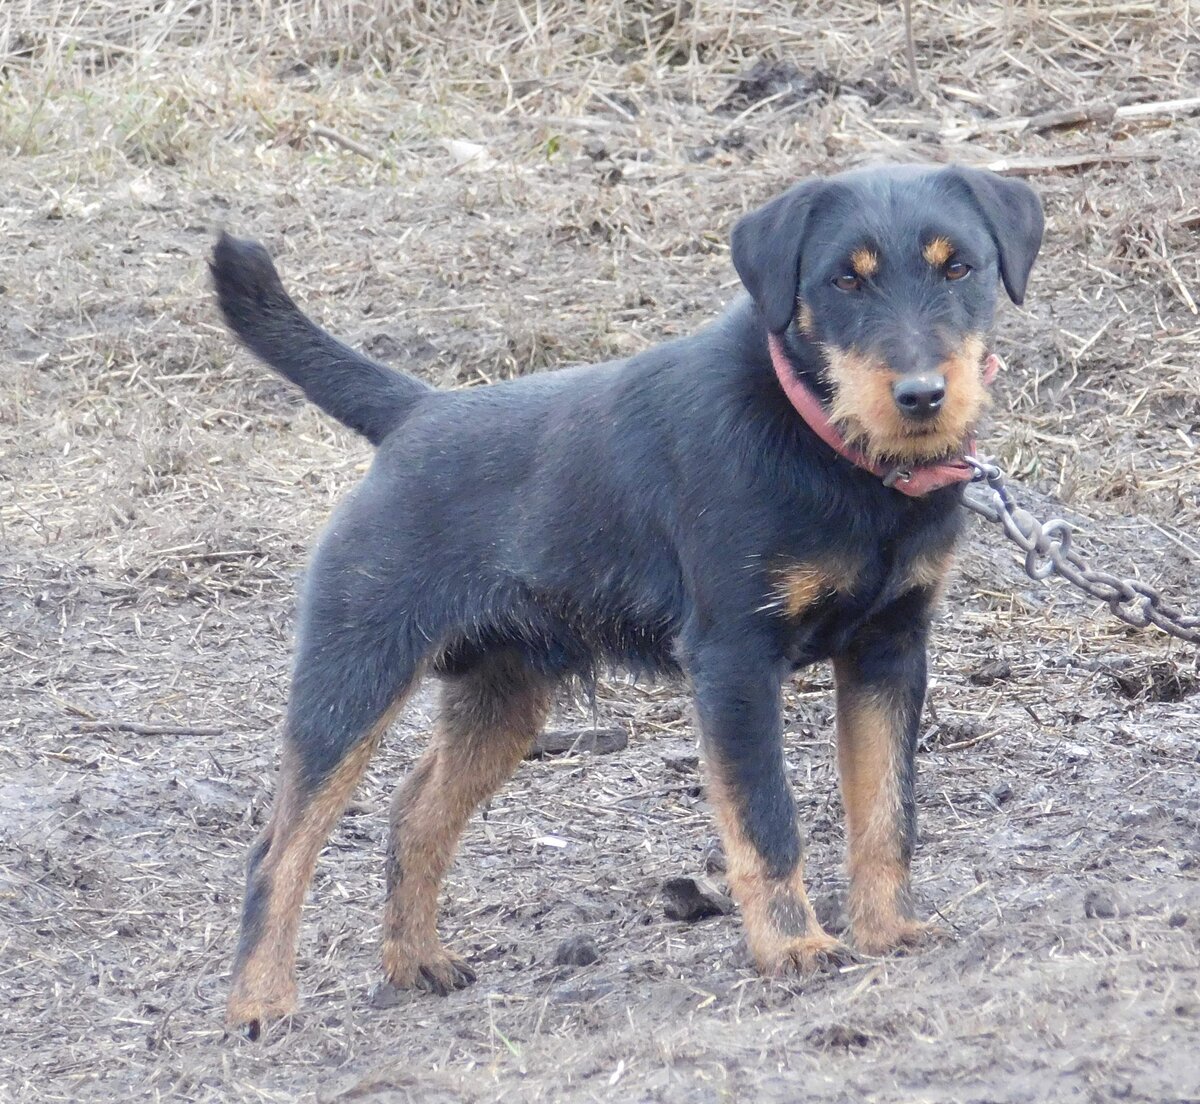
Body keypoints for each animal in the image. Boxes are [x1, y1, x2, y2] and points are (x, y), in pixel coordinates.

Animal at [213, 164, 1041, 1036]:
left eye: (959, 268)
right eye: (845, 280)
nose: (921, 395)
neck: (832, 448)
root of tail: (416, 413)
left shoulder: (890, 650)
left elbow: (887, 813)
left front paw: (889, 929)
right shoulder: (734, 663)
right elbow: (766, 821)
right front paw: (793, 947)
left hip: (502, 695)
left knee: (415, 815)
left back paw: (415, 961)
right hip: (354, 674)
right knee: (279, 848)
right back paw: (261, 1001)